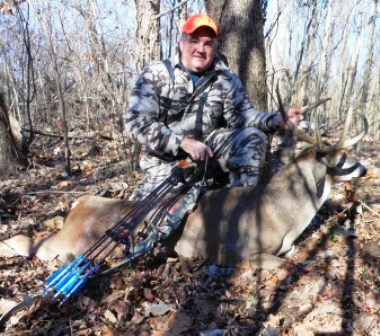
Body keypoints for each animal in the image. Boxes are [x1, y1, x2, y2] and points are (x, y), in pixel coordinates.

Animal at [0, 106, 368, 270]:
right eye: (345, 158)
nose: (365, 168)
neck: (281, 213)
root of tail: (75, 208)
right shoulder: (235, 251)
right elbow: (286, 263)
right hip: (63, 245)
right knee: (24, 241)